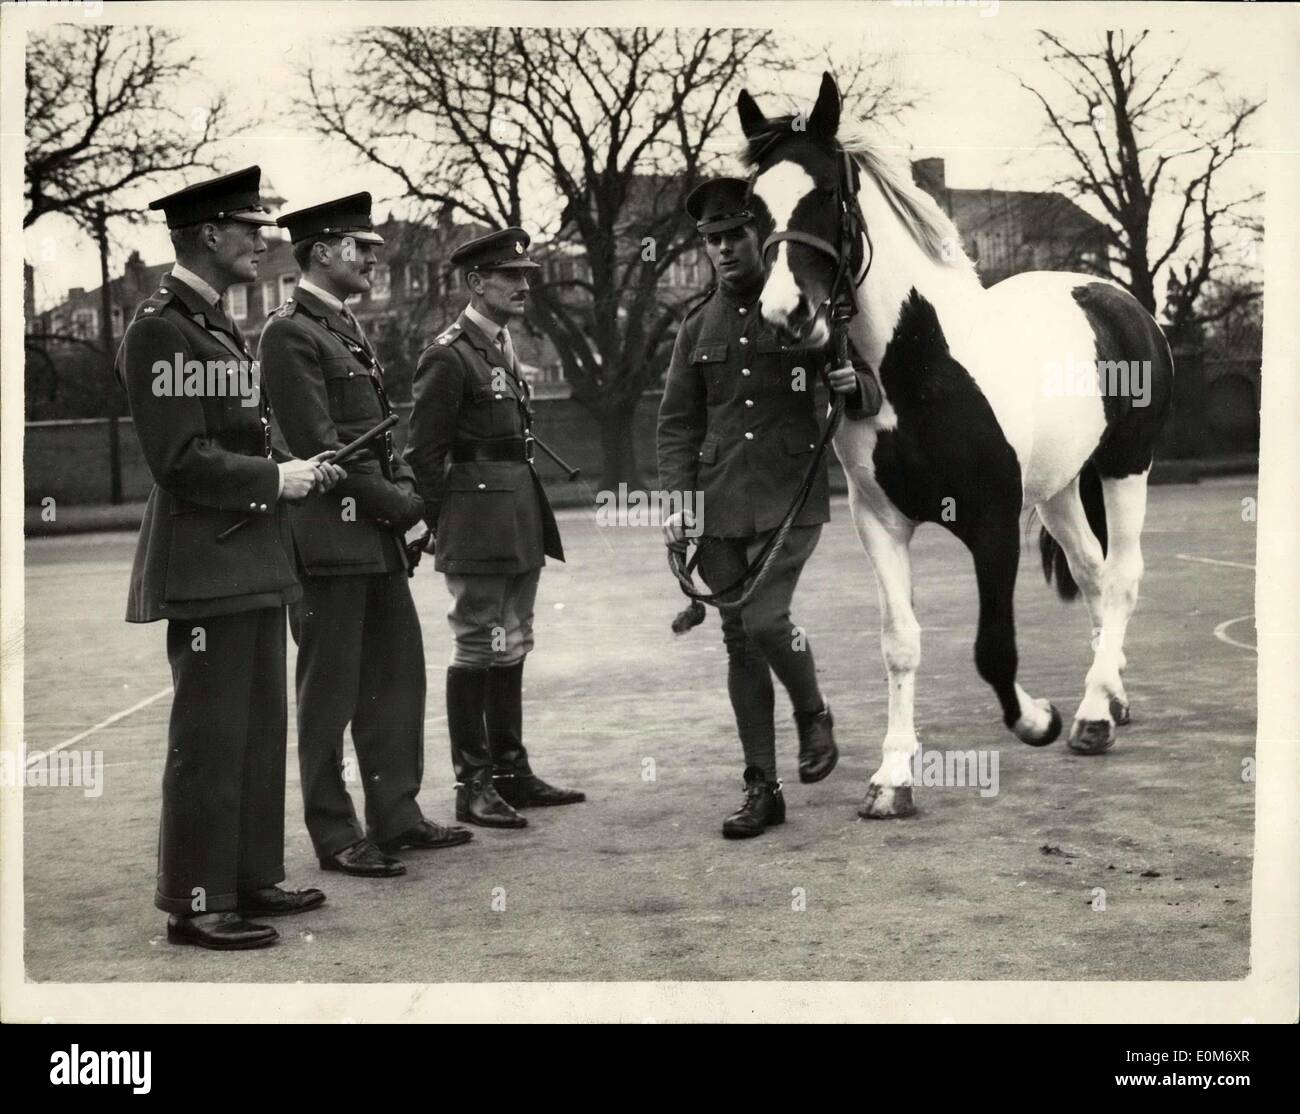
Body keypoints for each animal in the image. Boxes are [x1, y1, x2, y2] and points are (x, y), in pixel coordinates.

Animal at [738, 71, 1175, 816]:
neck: (922, 367)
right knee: (1092, 572)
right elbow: (900, 644)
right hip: (1060, 487)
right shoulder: (880, 524)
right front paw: (892, 779)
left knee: (1121, 577)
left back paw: (1089, 715)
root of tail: (1114, 299)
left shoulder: (991, 523)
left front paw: (1038, 718)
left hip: (1126, 467)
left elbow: (992, 649)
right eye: (754, 205)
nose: (785, 314)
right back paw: (1108, 698)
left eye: (826, 194)